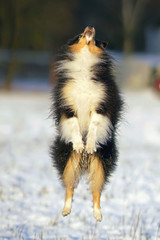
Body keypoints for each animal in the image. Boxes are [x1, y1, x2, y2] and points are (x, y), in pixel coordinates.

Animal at [50, 25, 123, 221]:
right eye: (80, 35)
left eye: (95, 39)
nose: (90, 27)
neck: (84, 62)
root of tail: (84, 162)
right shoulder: (68, 106)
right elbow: (74, 124)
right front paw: (79, 143)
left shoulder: (101, 105)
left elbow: (94, 126)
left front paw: (89, 145)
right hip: (68, 160)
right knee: (69, 187)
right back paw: (66, 210)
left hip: (101, 163)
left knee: (96, 191)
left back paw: (98, 215)